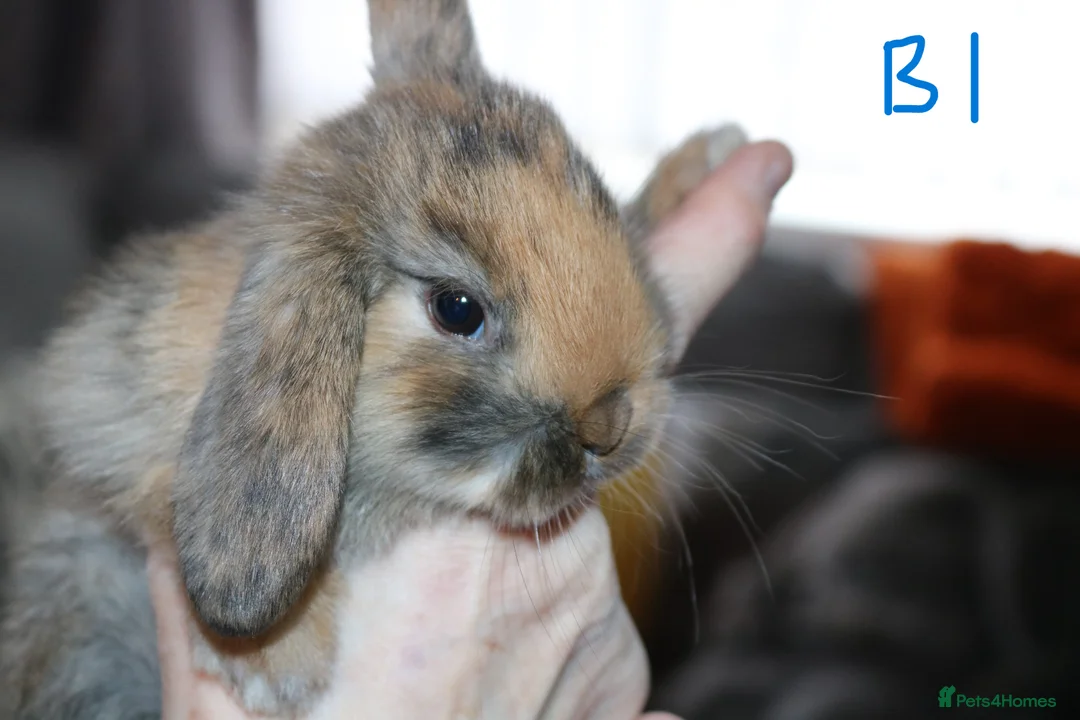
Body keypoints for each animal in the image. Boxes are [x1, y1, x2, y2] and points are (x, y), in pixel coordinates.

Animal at [0, 0, 750, 717]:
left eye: (599, 205)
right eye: (457, 309)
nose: (612, 425)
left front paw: (709, 159)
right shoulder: (105, 409)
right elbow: (155, 487)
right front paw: (279, 661)